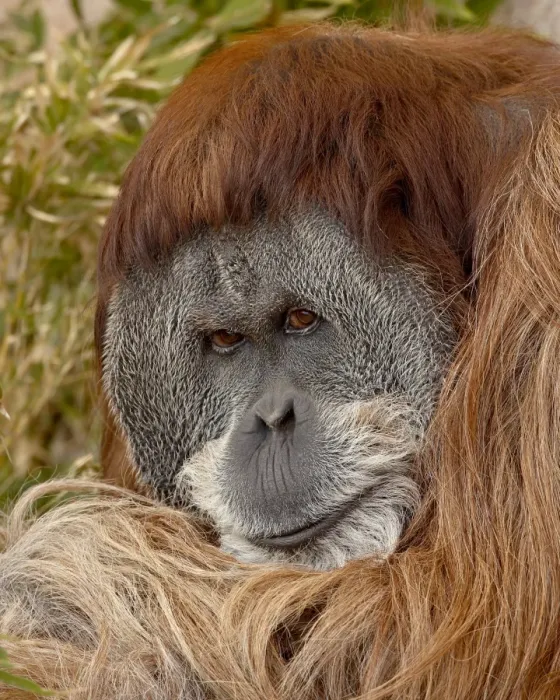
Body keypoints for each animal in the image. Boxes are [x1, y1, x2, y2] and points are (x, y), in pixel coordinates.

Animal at [3, 21, 560, 700]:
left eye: (299, 320)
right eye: (225, 341)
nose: (272, 419)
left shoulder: (545, 209)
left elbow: (460, 627)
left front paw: (43, 574)